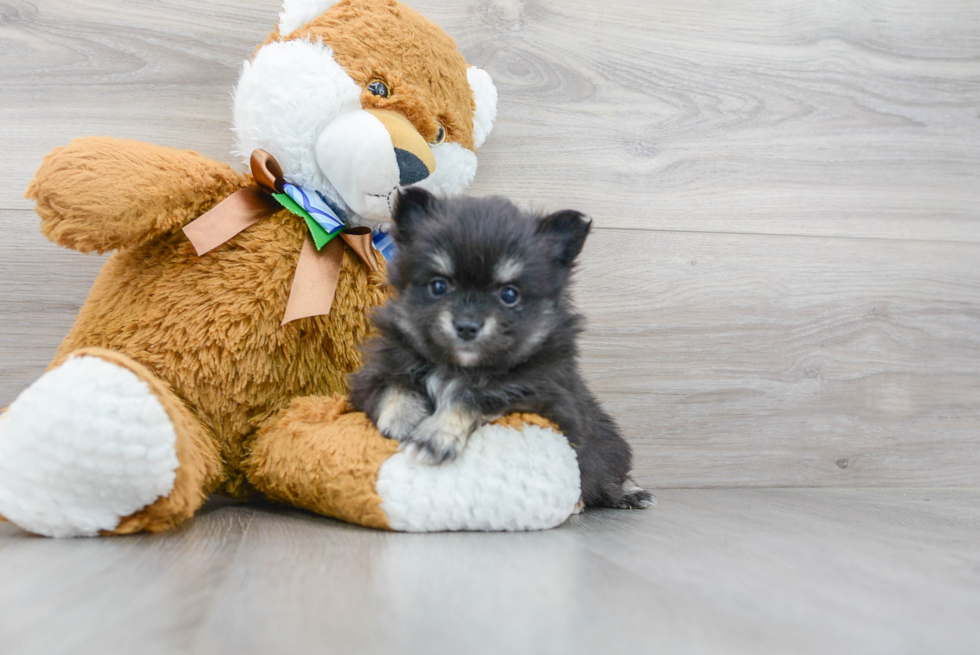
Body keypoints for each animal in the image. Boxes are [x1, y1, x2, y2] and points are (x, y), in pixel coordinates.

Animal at [348, 187, 656, 510]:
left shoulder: (539, 398)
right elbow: (395, 385)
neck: (459, 367)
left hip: (607, 446)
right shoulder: (372, 376)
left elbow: (473, 397)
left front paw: (434, 435)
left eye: (509, 295)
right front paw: (402, 418)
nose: (467, 326)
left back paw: (627, 492)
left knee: (608, 475)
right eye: (438, 286)